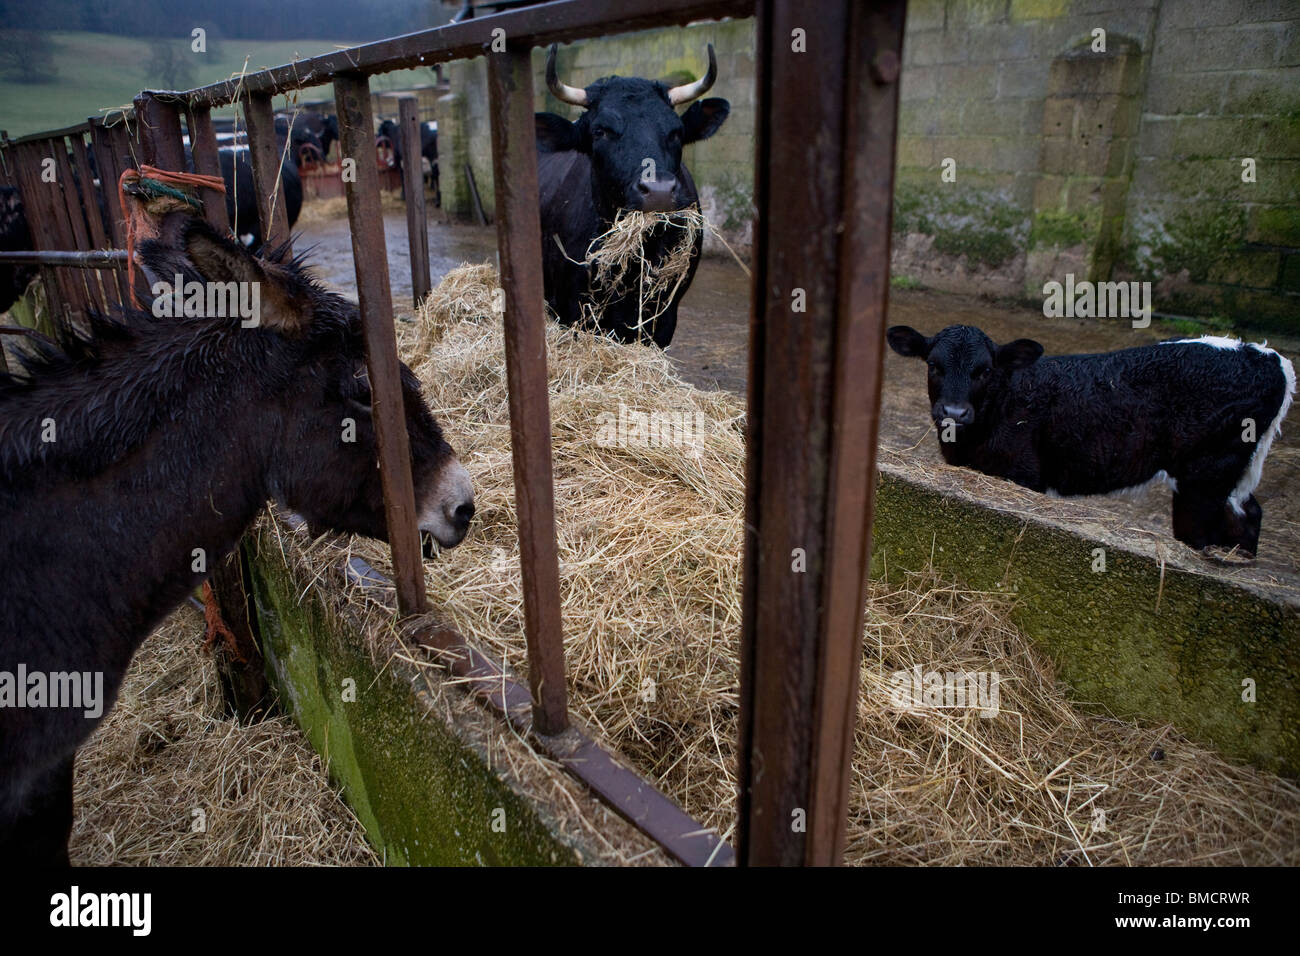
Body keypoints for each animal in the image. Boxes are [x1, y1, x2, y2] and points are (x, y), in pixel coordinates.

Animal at [889, 325, 1294, 556]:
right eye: (933, 365)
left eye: (984, 370)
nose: (954, 412)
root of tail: (1265, 355)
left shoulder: (1023, 474)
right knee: (1248, 513)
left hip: (1205, 476)